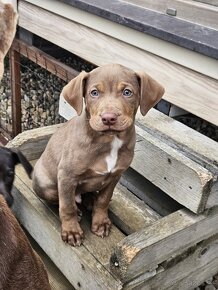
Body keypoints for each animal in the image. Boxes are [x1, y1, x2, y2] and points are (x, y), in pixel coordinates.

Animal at [32, 62, 165, 245]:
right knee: (61, 199)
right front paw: (72, 231)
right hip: (44, 183)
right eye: (94, 93)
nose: (108, 118)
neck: (110, 140)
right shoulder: (66, 175)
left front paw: (100, 222)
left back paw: (89, 201)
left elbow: (104, 200)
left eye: (127, 92)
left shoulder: (115, 175)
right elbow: (67, 206)